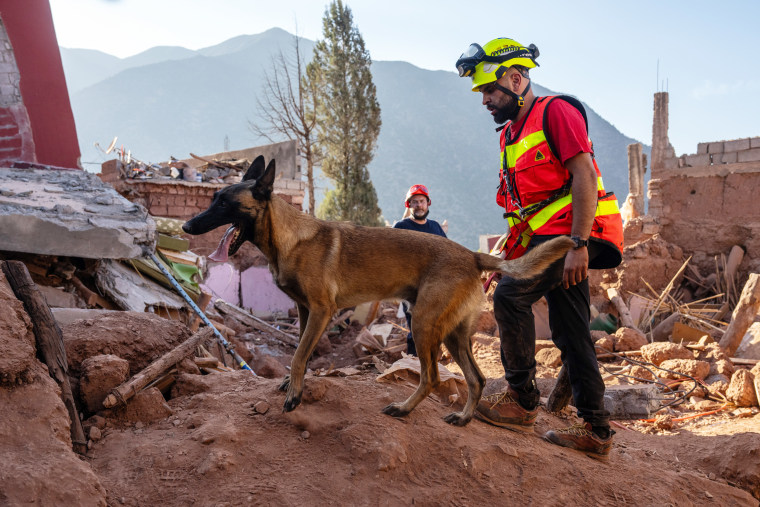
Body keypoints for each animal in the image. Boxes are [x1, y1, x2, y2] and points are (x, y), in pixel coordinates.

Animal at [183, 157, 568, 426]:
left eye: (224, 203)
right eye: (213, 198)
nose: (186, 226)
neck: (289, 237)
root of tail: (473, 255)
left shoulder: (320, 311)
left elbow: (298, 356)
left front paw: (293, 396)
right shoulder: (305, 312)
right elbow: (300, 354)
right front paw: (292, 385)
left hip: (423, 324)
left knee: (432, 377)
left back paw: (403, 408)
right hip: (452, 334)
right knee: (477, 379)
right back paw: (463, 418)